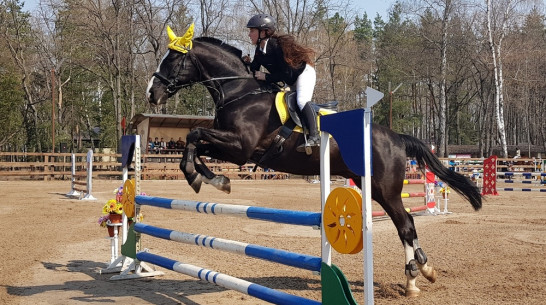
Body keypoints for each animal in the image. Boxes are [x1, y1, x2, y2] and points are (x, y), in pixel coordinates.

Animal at [146, 24, 480, 296]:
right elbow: (195, 143)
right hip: (372, 186)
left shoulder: (240, 147)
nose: (152, 94)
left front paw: (200, 177)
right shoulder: (233, 148)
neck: (240, 91)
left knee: (406, 225)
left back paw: (416, 274)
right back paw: (419, 273)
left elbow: (194, 135)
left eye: (172, 59)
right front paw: (212, 179)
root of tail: (396, 137)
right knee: (405, 225)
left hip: (385, 189)